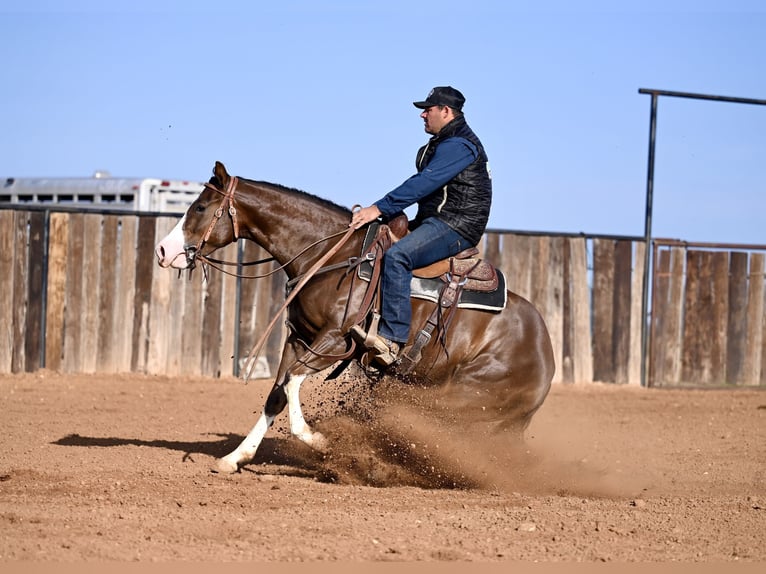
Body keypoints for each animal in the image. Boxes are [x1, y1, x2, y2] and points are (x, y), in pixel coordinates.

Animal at [153, 162, 556, 476]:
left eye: (200, 207)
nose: (162, 250)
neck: (331, 255)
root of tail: (545, 352)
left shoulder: (337, 340)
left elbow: (294, 381)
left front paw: (320, 440)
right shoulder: (299, 337)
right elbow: (277, 393)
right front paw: (235, 457)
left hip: (463, 395)